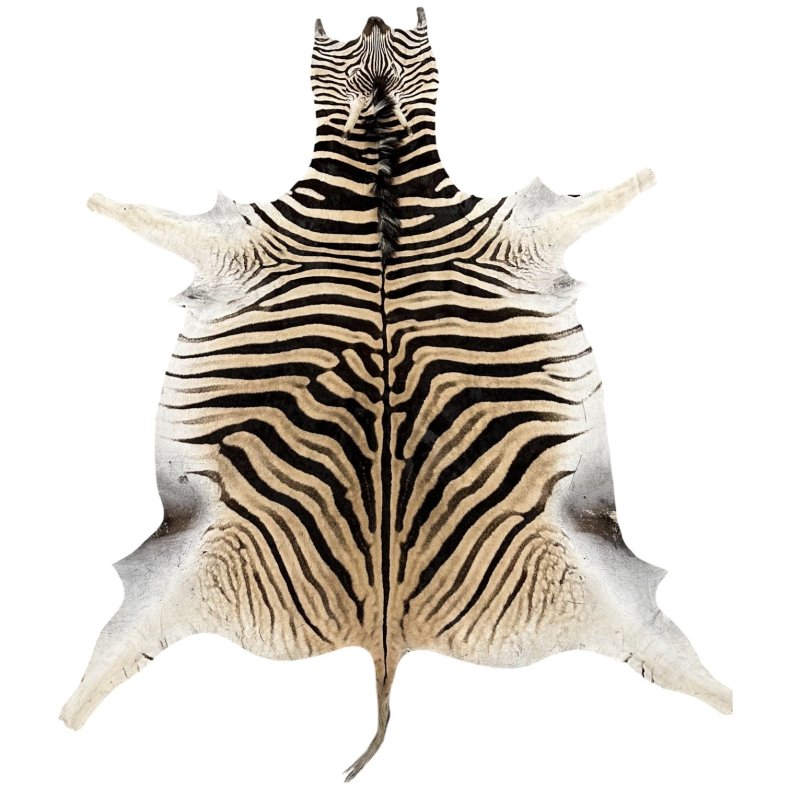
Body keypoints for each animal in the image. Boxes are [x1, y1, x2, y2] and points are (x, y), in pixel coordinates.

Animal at [61, 8, 731, 780]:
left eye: (415, 41)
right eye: (340, 44)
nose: (378, 16)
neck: (381, 171)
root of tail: (385, 642)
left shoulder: (520, 234)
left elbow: (606, 195)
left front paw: (645, 175)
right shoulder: (235, 247)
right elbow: (145, 214)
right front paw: (97, 200)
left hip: (572, 573)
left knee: (657, 646)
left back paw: (724, 696)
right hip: (197, 562)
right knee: (121, 647)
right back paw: (71, 709)